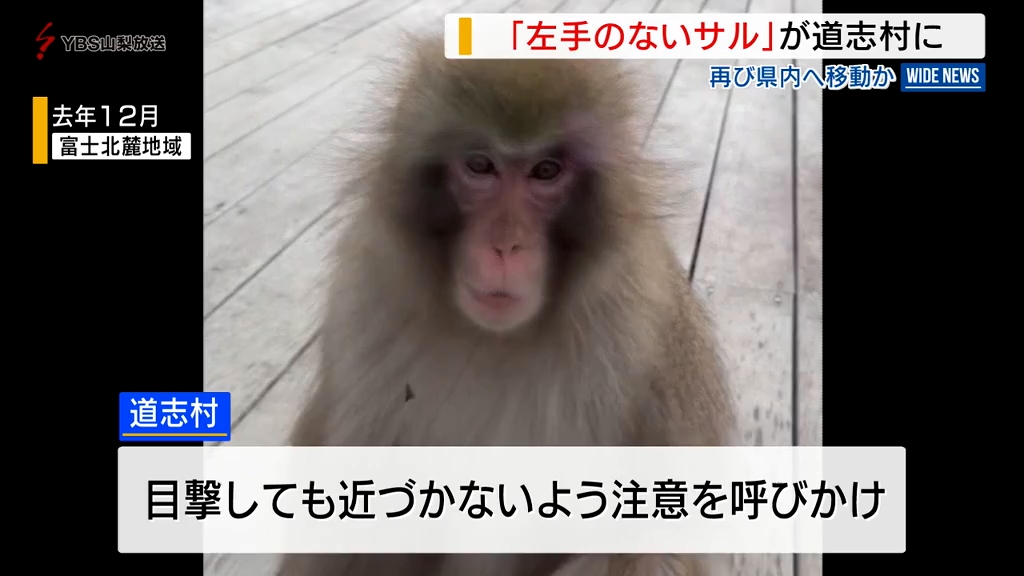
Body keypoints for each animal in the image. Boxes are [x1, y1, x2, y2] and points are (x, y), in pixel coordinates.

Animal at [276, 33, 735, 576]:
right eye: (480, 165)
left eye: (546, 171)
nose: (505, 246)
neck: (494, 338)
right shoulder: (367, 299)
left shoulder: (638, 329)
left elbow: (656, 543)